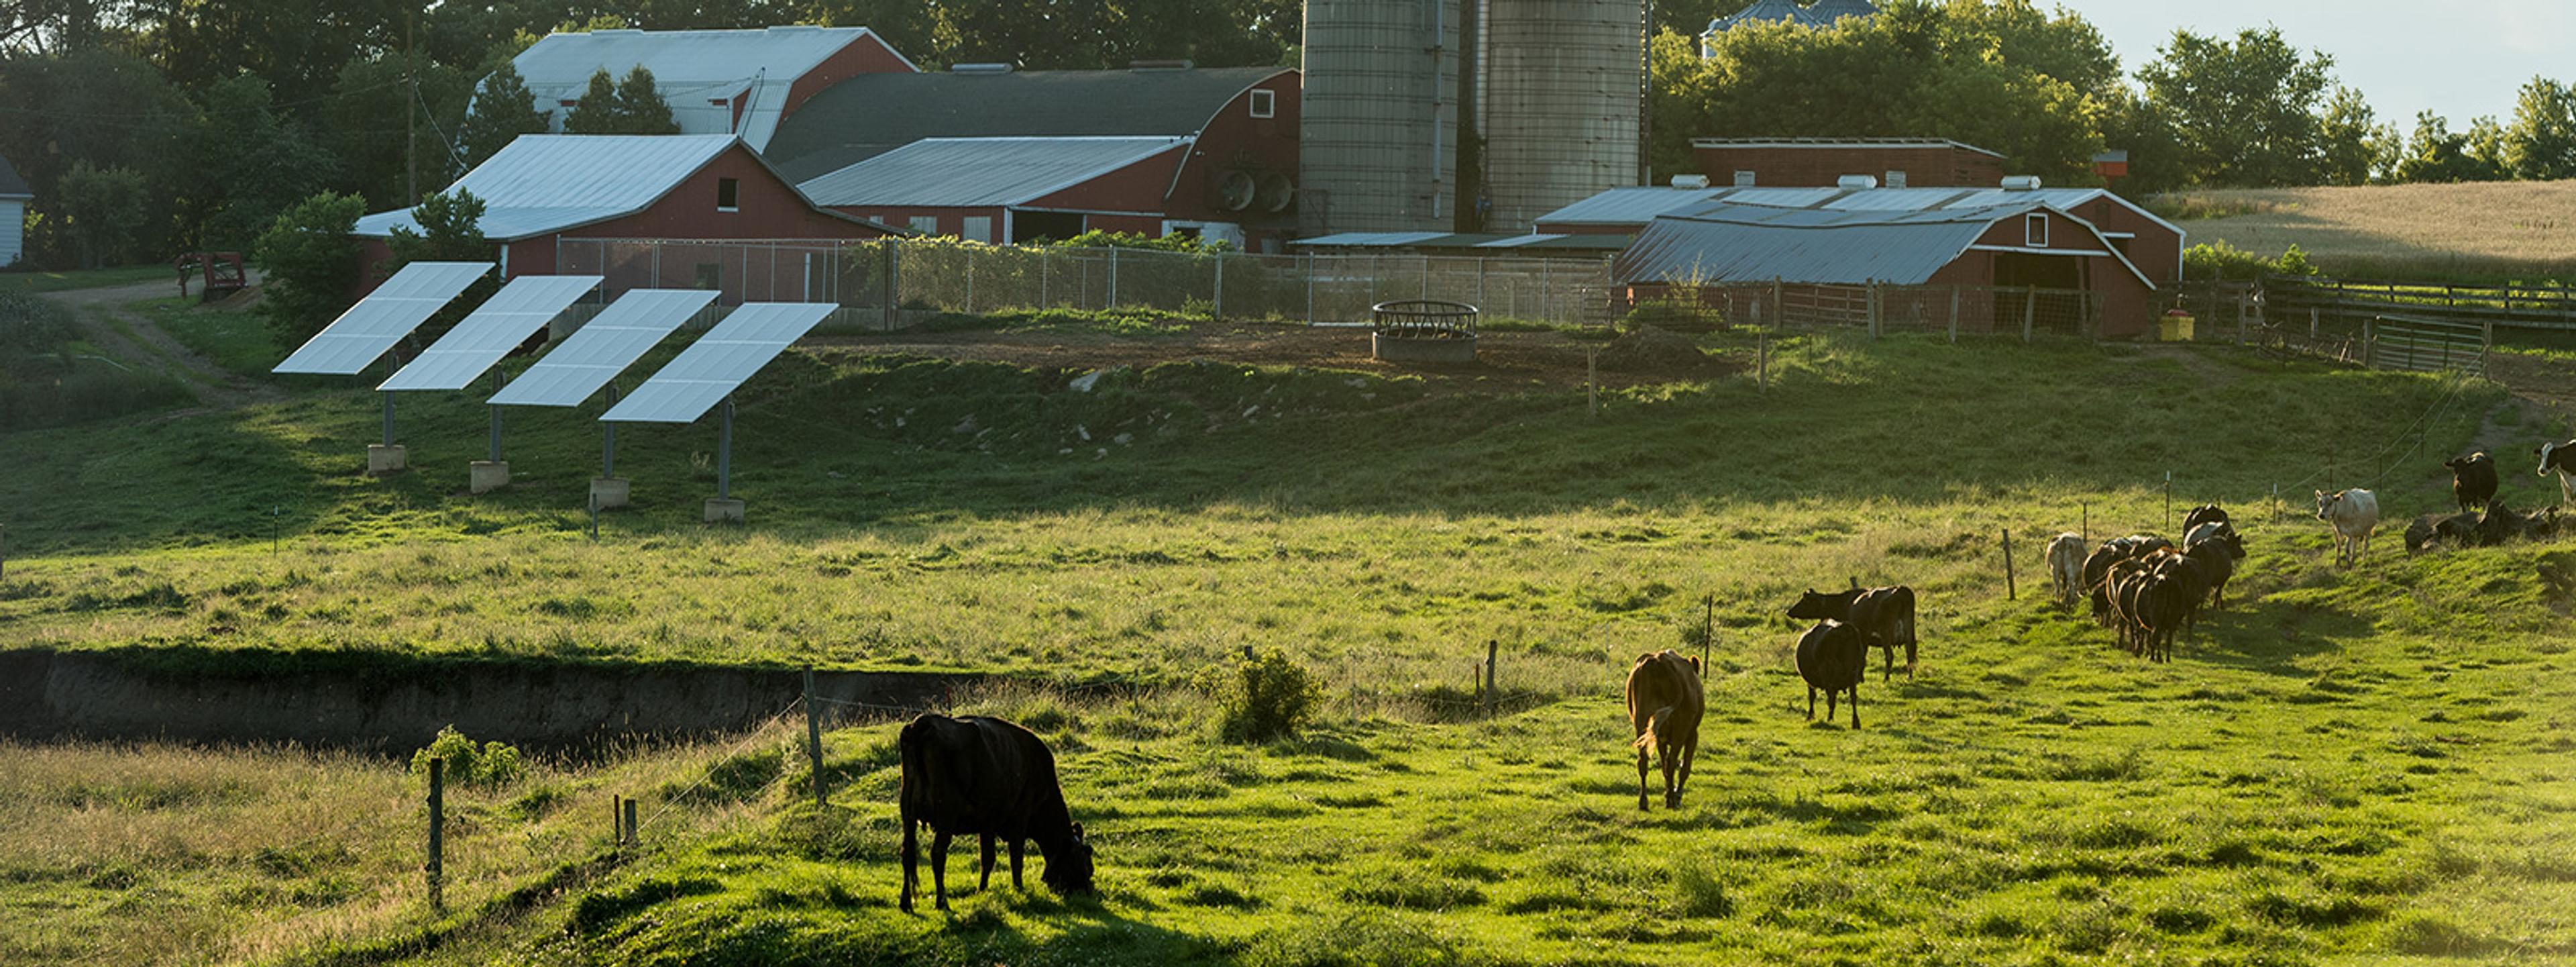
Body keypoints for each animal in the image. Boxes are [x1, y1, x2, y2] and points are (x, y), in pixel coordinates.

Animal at [902, 717, 1092, 913]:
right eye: (1085, 863)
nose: (1089, 892)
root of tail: (924, 721)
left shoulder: (988, 823)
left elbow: (988, 859)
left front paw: (982, 890)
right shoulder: (1019, 818)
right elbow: (1016, 858)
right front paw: (1019, 889)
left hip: (908, 814)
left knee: (906, 853)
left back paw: (906, 903)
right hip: (947, 815)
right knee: (938, 854)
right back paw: (942, 902)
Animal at [1627, 652, 1710, 819]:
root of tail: (1658, 660)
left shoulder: (1660, 739)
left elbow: (1664, 764)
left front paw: (1668, 793)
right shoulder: (1692, 735)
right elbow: (1684, 767)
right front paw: (1676, 795)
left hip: (1642, 725)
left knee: (1643, 761)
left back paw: (1644, 802)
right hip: (1681, 730)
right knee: (1672, 762)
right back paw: (1672, 800)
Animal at [1792, 582, 1916, 680]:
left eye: (1804, 601)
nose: (1790, 611)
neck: (1846, 604)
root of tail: (1900, 589)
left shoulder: (1861, 638)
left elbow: (1861, 658)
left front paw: (1859, 678)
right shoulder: (1864, 639)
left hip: (1886, 634)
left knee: (1890, 656)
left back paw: (1886, 678)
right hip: (1909, 634)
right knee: (1910, 654)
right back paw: (1909, 677)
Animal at [1803, 623, 1865, 732]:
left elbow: (1814, 697)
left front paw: (1811, 716)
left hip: (1830, 679)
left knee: (1831, 699)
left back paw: (1830, 719)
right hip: (1852, 677)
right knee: (1853, 698)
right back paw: (1855, 723)